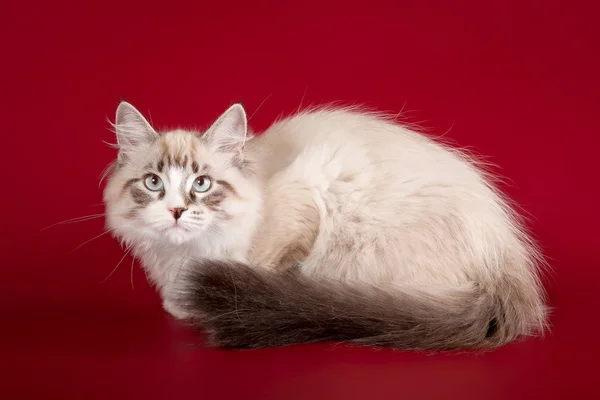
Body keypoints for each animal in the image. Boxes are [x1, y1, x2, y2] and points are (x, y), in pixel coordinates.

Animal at [102, 101, 548, 350]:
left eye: (201, 184)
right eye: (153, 183)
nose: (176, 211)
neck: (184, 260)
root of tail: (506, 260)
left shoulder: (302, 204)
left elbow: (270, 263)